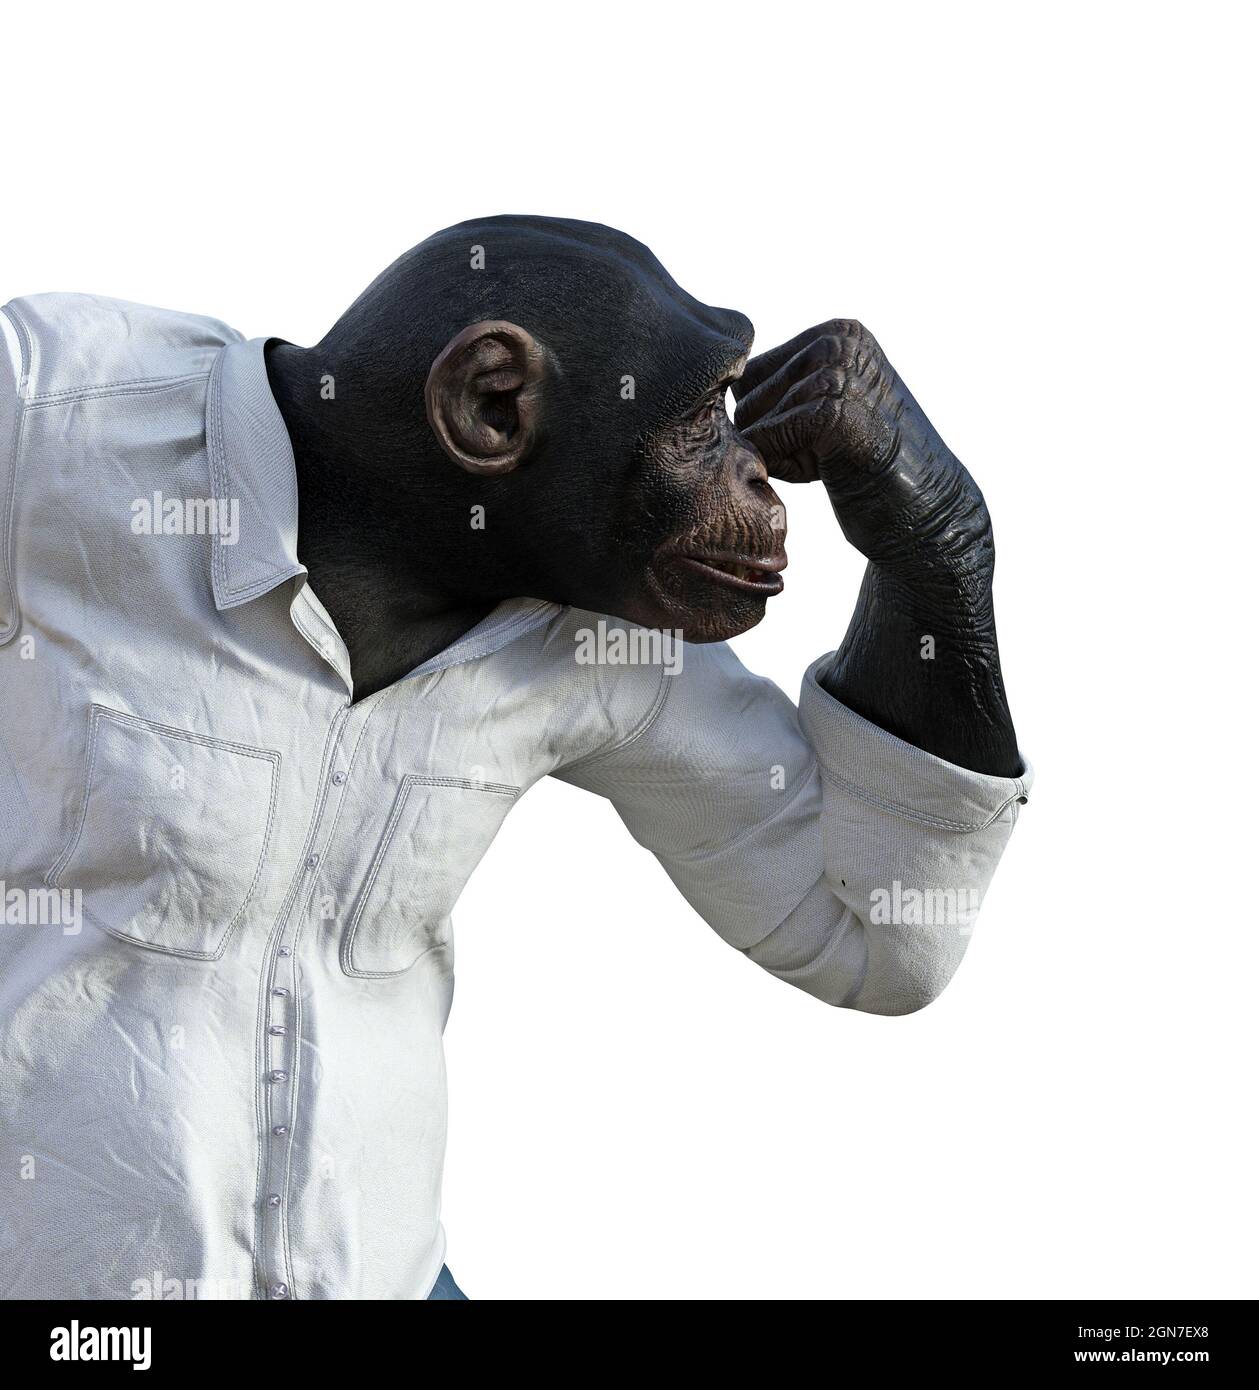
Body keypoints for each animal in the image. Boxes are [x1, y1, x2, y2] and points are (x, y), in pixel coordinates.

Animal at [0, 216, 1029, 1299]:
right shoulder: (40, 385)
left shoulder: (639, 654)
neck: (369, 538)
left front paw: (876, 435)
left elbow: (837, 917)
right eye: (707, 413)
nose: (753, 471)